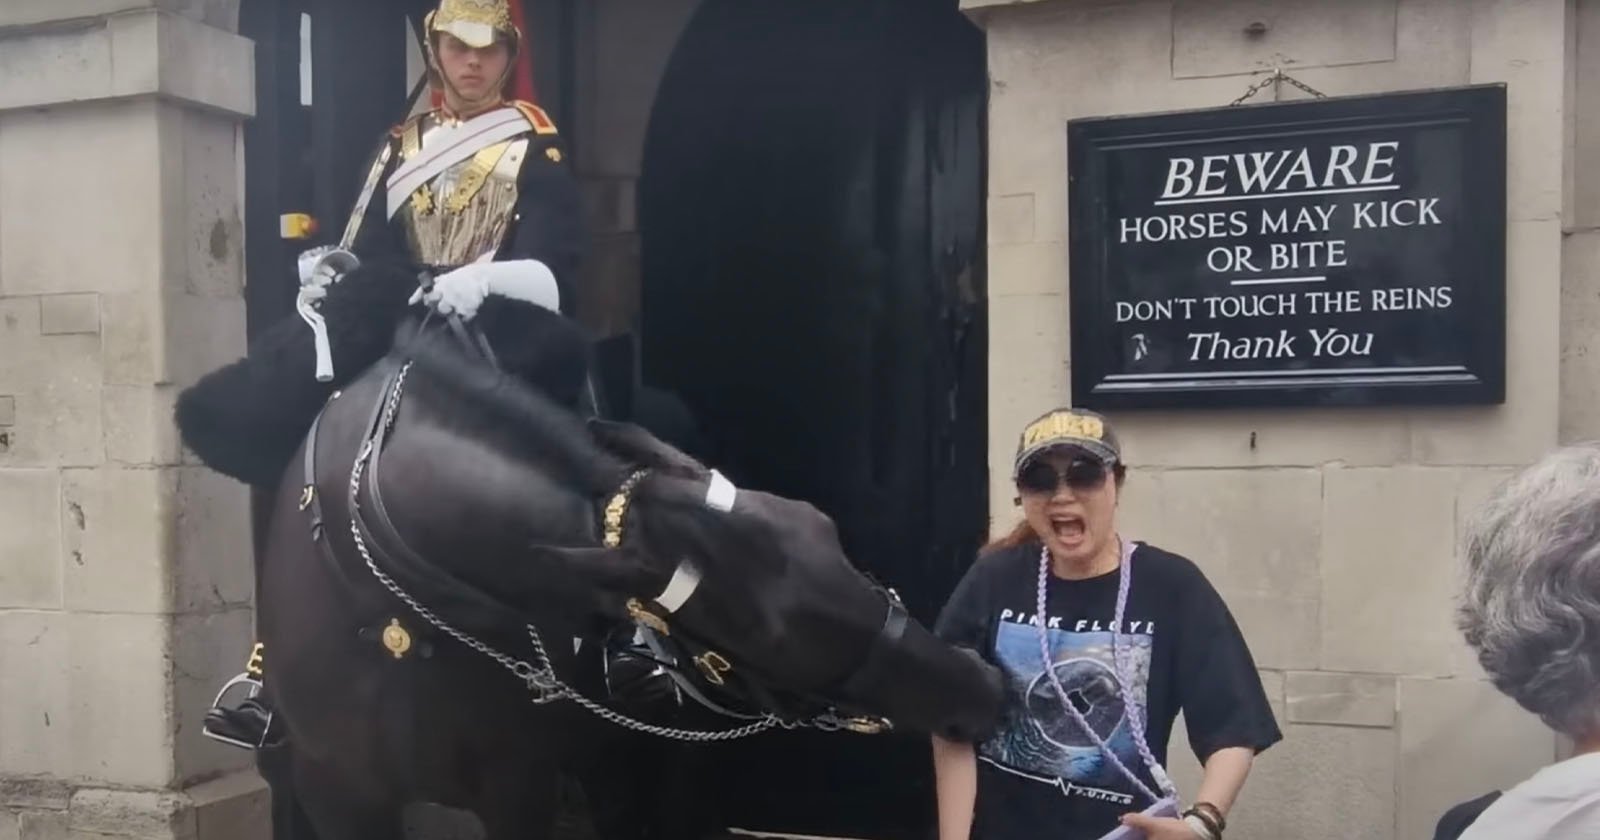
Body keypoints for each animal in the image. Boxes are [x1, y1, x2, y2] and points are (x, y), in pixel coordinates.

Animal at [233, 308, 998, 838]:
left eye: (828, 532)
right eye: (771, 634)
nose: (980, 684)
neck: (392, 618)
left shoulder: (519, 785)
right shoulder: (336, 790)